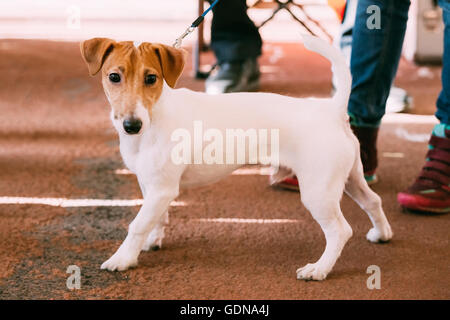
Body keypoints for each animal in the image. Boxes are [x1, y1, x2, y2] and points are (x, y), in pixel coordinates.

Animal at [81, 34, 394, 280]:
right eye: (114, 77)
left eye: (151, 78)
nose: (131, 125)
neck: (154, 115)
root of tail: (332, 110)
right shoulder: (152, 187)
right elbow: (155, 218)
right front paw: (151, 240)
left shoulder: (162, 189)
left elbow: (137, 224)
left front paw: (123, 258)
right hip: (349, 178)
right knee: (373, 201)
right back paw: (382, 234)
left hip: (318, 191)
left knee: (340, 231)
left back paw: (319, 269)